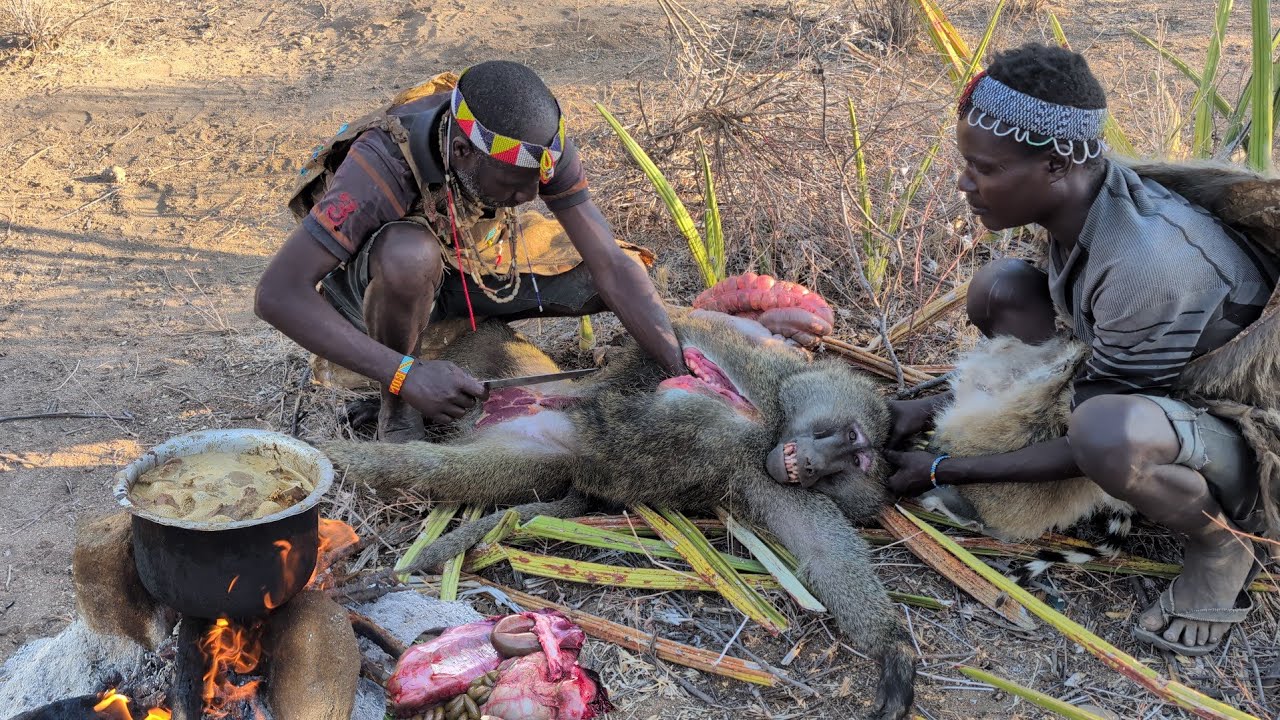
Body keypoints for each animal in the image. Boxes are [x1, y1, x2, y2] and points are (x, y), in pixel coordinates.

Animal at [322, 309, 916, 720]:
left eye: (846, 469)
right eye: (853, 443)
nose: (813, 466)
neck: (769, 421)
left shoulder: (763, 477)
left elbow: (822, 550)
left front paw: (893, 650)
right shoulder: (762, 378)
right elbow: (703, 328)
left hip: (525, 453)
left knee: (420, 467)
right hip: (521, 376)